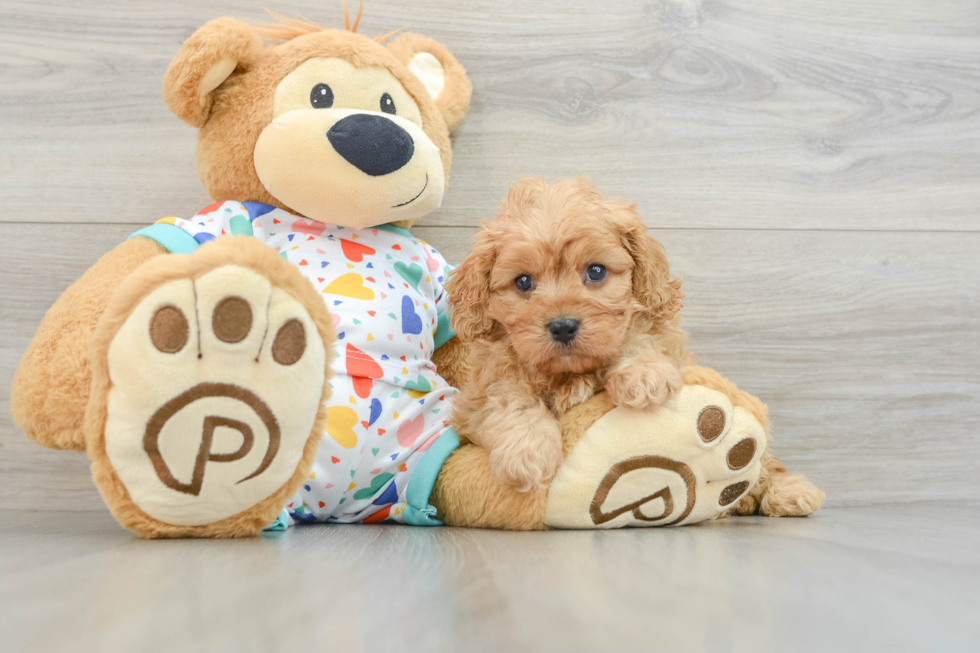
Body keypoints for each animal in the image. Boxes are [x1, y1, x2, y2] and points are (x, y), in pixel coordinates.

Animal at [444, 176, 688, 492]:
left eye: (596, 271)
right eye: (523, 282)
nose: (562, 326)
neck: (568, 373)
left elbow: (640, 332)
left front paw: (643, 372)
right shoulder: (479, 394)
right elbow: (507, 397)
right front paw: (528, 449)